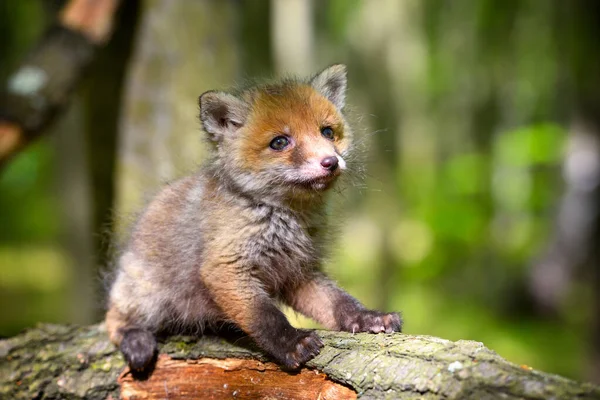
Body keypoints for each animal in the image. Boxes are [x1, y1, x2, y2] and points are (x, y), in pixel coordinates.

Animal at [105, 65, 400, 372]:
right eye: (280, 142)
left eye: (327, 132)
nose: (330, 162)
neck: (285, 218)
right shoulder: (226, 267)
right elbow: (265, 316)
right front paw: (292, 344)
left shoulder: (299, 272)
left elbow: (337, 301)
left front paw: (368, 318)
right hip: (146, 297)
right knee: (112, 320)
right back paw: (135, 339)